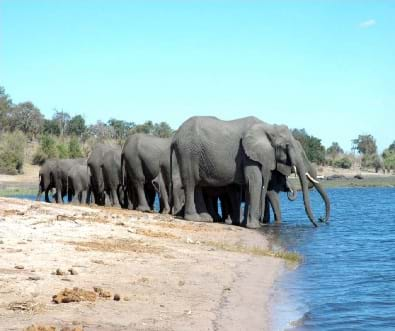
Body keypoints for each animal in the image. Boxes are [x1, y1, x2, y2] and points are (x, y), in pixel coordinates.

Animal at [173, 116, 332, 228]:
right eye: (286, 146)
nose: (320, 221)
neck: (268, 127)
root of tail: (176, 134)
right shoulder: (247, 154)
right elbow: (256, 182)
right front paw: (255, 226)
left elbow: (251, 185)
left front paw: (247, 224)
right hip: (188, 152)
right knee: (191, 182)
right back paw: (194, 218)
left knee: (198, 185)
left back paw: (206, 219)